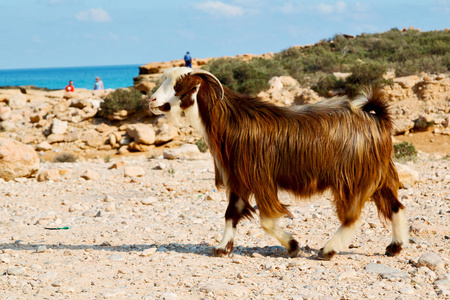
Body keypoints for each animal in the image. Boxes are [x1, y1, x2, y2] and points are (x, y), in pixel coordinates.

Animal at [149, 67, 410, 258]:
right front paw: (222, 248)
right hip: (378, 174)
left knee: (352, 217)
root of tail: (375, 118)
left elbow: (266, 220)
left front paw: (293, 246)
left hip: (352, 177)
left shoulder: (261, 178)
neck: (232, 122)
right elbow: (231, 214)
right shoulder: (239, 180)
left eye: (178, 86)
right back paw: (394, 247)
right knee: (395, 206)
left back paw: (328, 250)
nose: (151, 100)